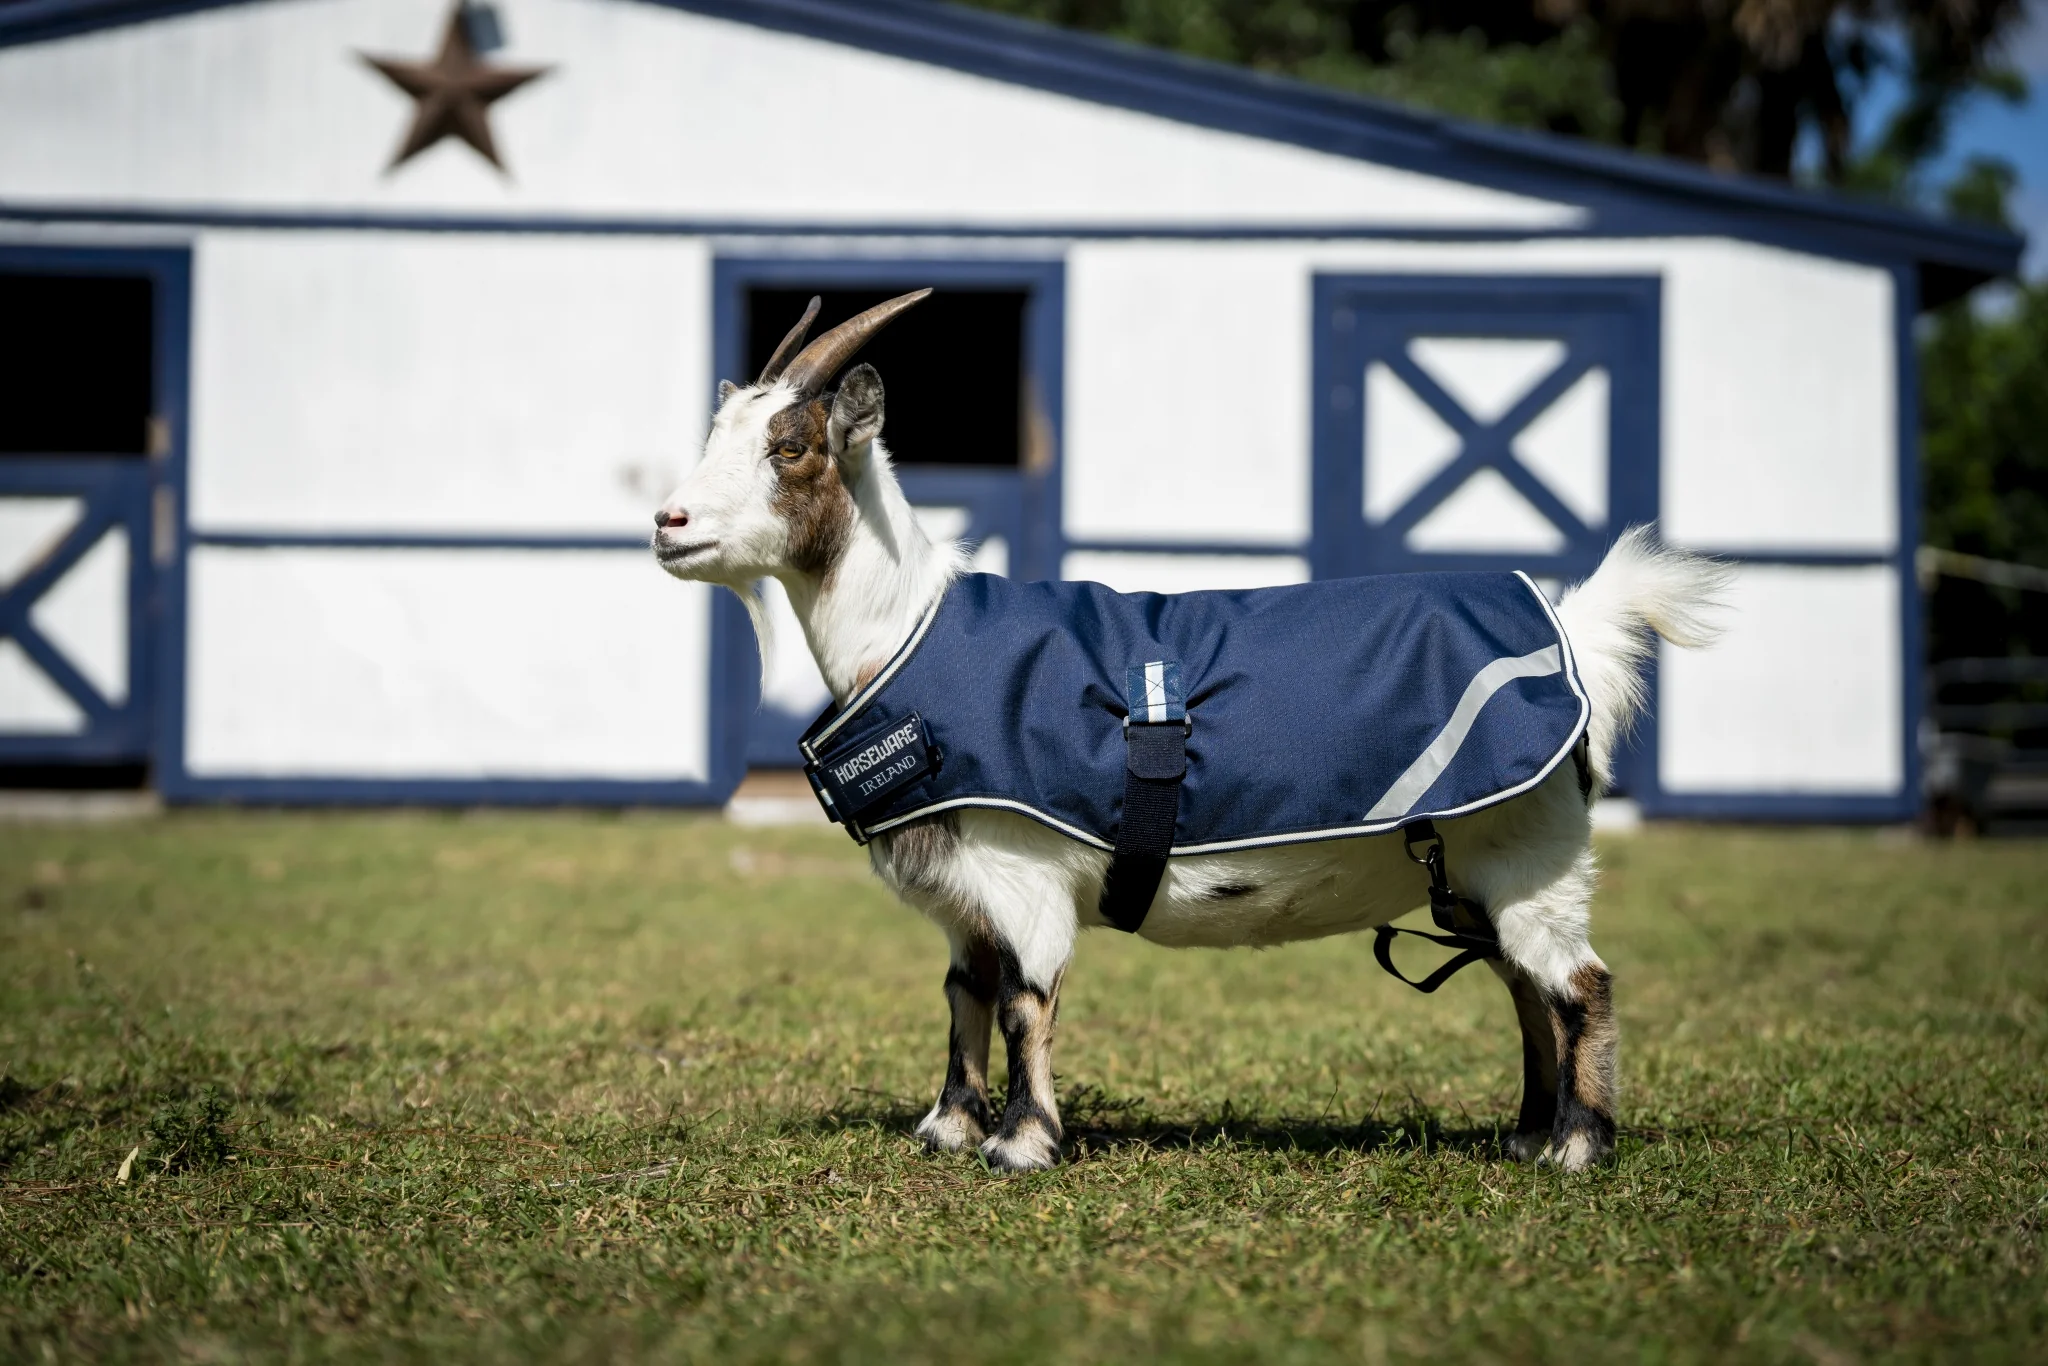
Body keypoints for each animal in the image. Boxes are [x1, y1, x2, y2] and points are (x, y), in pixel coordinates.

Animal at [654, 291, 1727, 1173]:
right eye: (718, 433)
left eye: (791, 448)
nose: (669, 523)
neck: (907, 633)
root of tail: (1574, 633)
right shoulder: (967, 893)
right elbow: (965, 992)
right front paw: (948, 1127)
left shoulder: (1023, 870)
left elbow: (1024, 999)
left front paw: (1022, 1145)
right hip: (1481, 871)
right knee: (1523, 990)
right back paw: (1525, 1135)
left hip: (1533, 855)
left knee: (1578, 985)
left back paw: (1577, 1149)